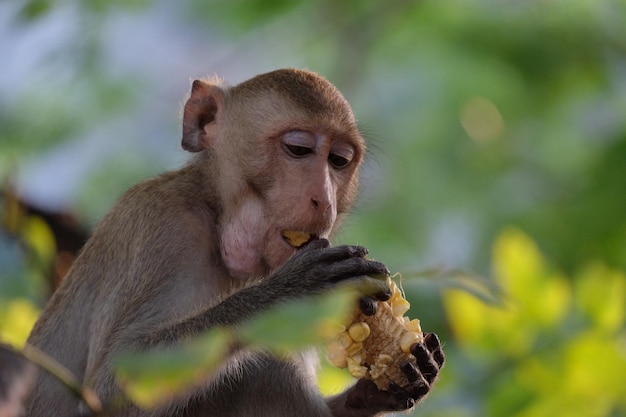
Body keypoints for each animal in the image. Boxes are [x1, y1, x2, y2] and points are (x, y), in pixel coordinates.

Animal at [24, 69, 444, 416]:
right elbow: (111, 386)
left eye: (339, 160)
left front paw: (376, 391)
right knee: (269, 366)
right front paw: (288, 291)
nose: (324, 201)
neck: (217, 216)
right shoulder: (160, 228)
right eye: (298, 149)